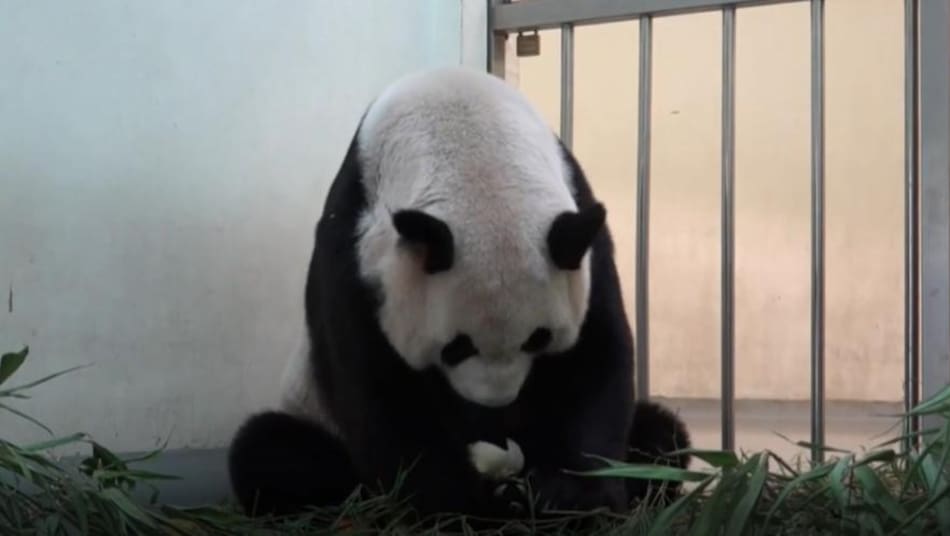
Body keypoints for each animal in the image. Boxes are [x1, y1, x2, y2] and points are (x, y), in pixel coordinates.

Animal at [227, 66, 691, 520]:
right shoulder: (353, 254)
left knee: (662, 433)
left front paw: (573, 497)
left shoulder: (582, 234)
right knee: (272, 453)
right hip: (308, 410)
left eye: (538, 339)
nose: (497, 402)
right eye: (456, 346)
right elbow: (380, 391)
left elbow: (594, 360)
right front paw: (460, 502)